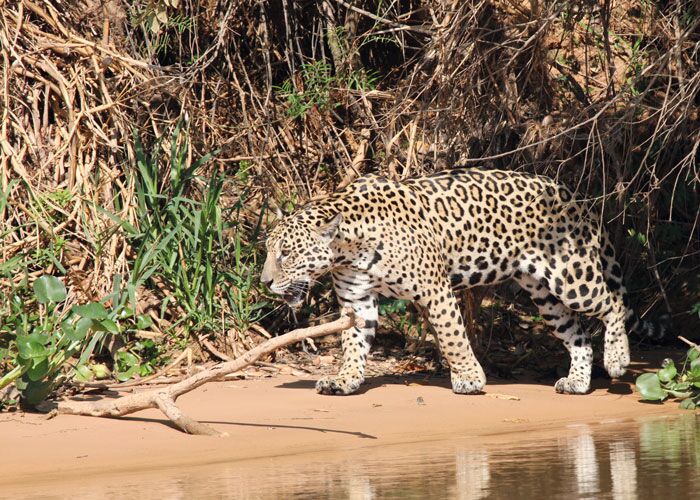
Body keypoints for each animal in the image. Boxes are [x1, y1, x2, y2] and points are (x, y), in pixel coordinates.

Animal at [261, 167, 665, 396]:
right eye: (268, 250)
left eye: (285, 254)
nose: (265, 282)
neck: (349, 247)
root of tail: (573, 197)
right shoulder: (356, 300)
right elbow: (353, 345)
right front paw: (345, 380)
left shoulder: (435, 291)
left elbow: (453, 337)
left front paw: (470, 379)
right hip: (544, 294)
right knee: (578, 336)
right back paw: (578, 383)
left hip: (571, 274)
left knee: (613, 303)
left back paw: (617, 359)